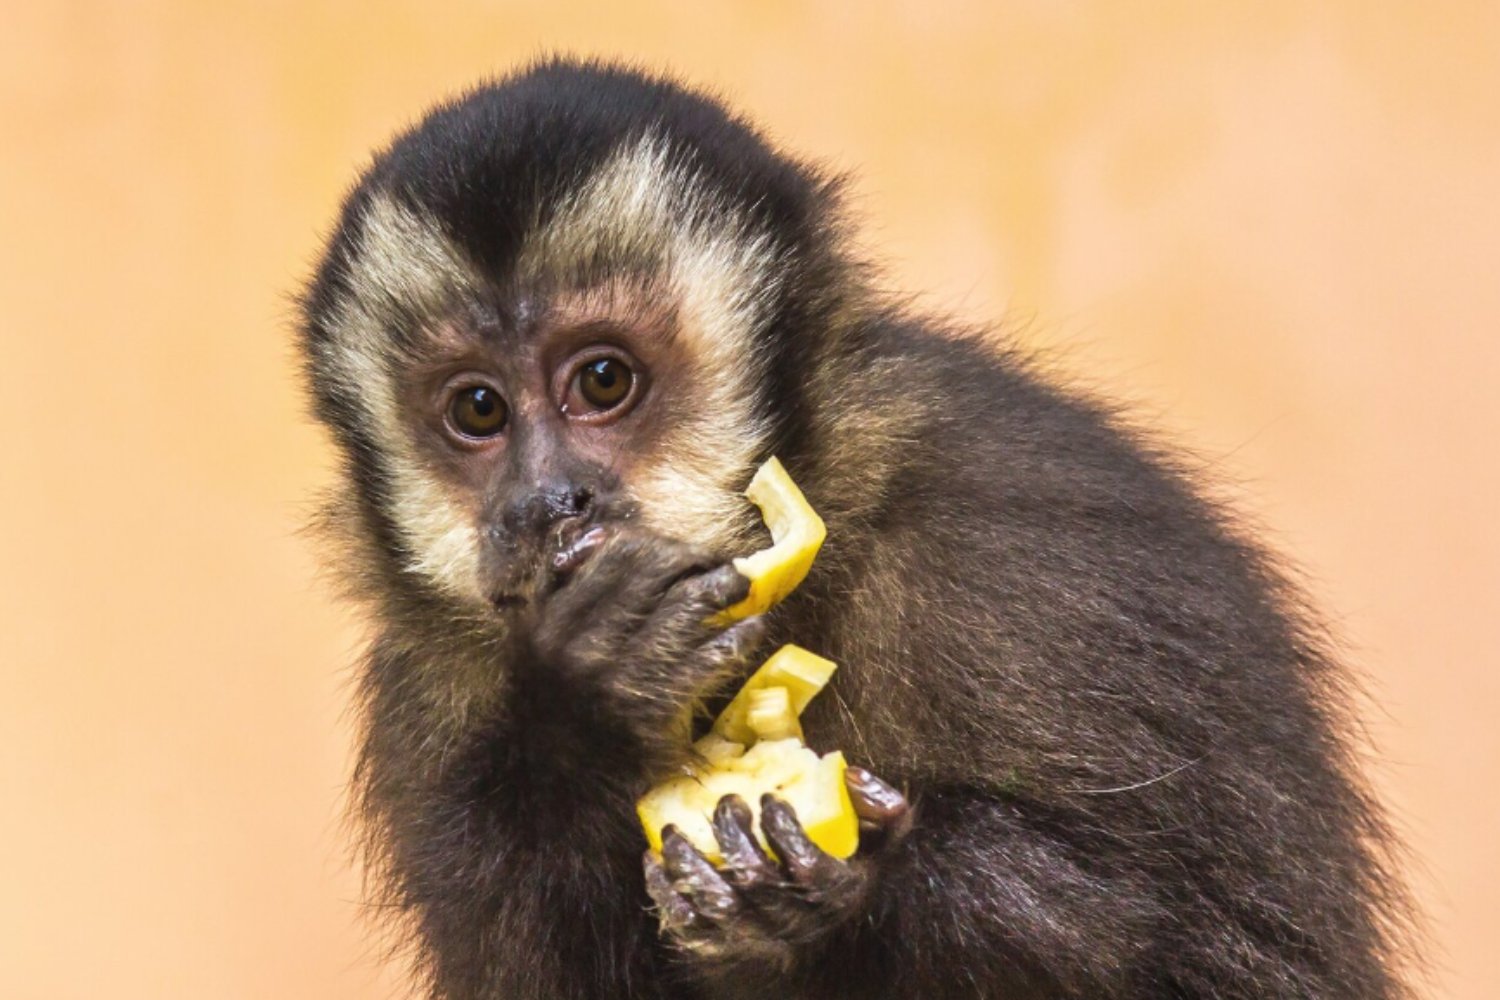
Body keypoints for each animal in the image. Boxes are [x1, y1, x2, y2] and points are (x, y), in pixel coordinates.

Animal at [298, 59, 1412, 999]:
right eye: (478, 411)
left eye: (604, 381)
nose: (544, 504)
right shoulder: (424, 697)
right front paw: (589, 705)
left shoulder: (1029, 561)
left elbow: (1163, 927)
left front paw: (834, 897)